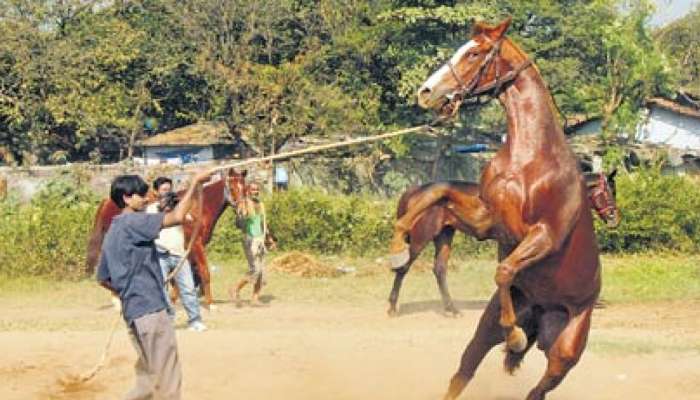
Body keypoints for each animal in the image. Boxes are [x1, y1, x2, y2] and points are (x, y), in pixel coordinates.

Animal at [86, 169, 247, 310]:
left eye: (245, 188)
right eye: (232, 187)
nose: (243, 211)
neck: (197, 207)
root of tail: (107, 202)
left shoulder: (185, 248)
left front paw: (175, 298)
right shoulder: (196, 244)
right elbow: (204, 271)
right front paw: (210, 303)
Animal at [388, 170, 616, 318]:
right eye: (608, 192)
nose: (614, 217)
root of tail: (415, 191)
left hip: (444, 234)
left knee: (439, 269)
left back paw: (451, 309)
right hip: (421, 237)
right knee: (403, 267)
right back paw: (392, 307)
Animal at [412, 17, 604, 398]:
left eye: (474, 53)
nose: (426, 92)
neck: (529, 158)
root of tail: (541, 316)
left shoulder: (543, 235)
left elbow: (504, 270)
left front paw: (513, 336)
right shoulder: (489, 222)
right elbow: (442, 194)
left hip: (565, 354)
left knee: (538, 390)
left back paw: (518, 336)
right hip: (484, 331)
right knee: (463, 371)